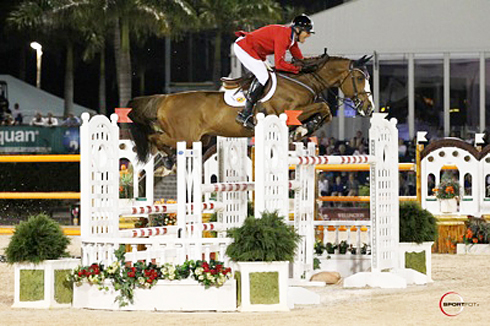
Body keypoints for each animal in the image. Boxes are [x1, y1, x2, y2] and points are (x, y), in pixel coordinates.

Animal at [127, 55, 376, 166]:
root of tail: (166, 98)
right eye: (358, 78)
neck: (302, 81)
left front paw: (303, 131)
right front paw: (302, 130)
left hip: (201, 139)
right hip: (186, 137)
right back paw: (167, 158)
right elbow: (324, 107)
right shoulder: (287, 112)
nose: (369, 108)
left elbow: (324, 112)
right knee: (154, 137)